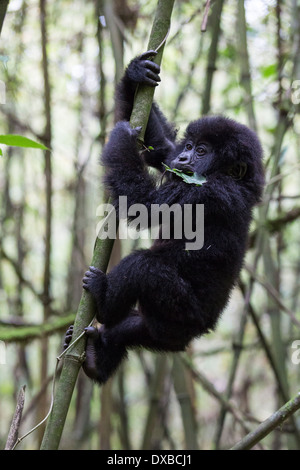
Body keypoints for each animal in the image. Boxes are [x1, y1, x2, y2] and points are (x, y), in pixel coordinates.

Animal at [64, 50, 264, 386]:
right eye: (189, 146)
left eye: (202, 151)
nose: (184, 158)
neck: (233, 179)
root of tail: (199, 332)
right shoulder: (174, 165)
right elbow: (159, 149)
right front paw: (136, 73)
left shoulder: (206, 193)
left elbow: (145, 205)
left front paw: (121, 137)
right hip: (166, 331)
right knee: (135, 329)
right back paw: (95, 357)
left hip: (181, 313)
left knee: (144, 267)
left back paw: (104, 303)